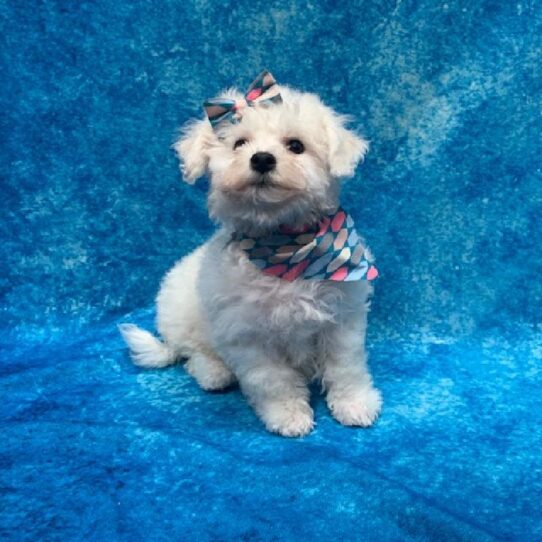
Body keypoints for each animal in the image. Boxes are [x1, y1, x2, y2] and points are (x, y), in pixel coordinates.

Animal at [120, 79, 382, 438]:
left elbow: (346, 366)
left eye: (296, 145)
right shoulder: (247, 335)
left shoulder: (343, 318)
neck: (284, 246)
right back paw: (214, 373)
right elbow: (273, 380)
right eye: (239, 143)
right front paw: (288, 415)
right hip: (184, 318)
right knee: (192, 353)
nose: (261, 159)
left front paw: (355, 404)